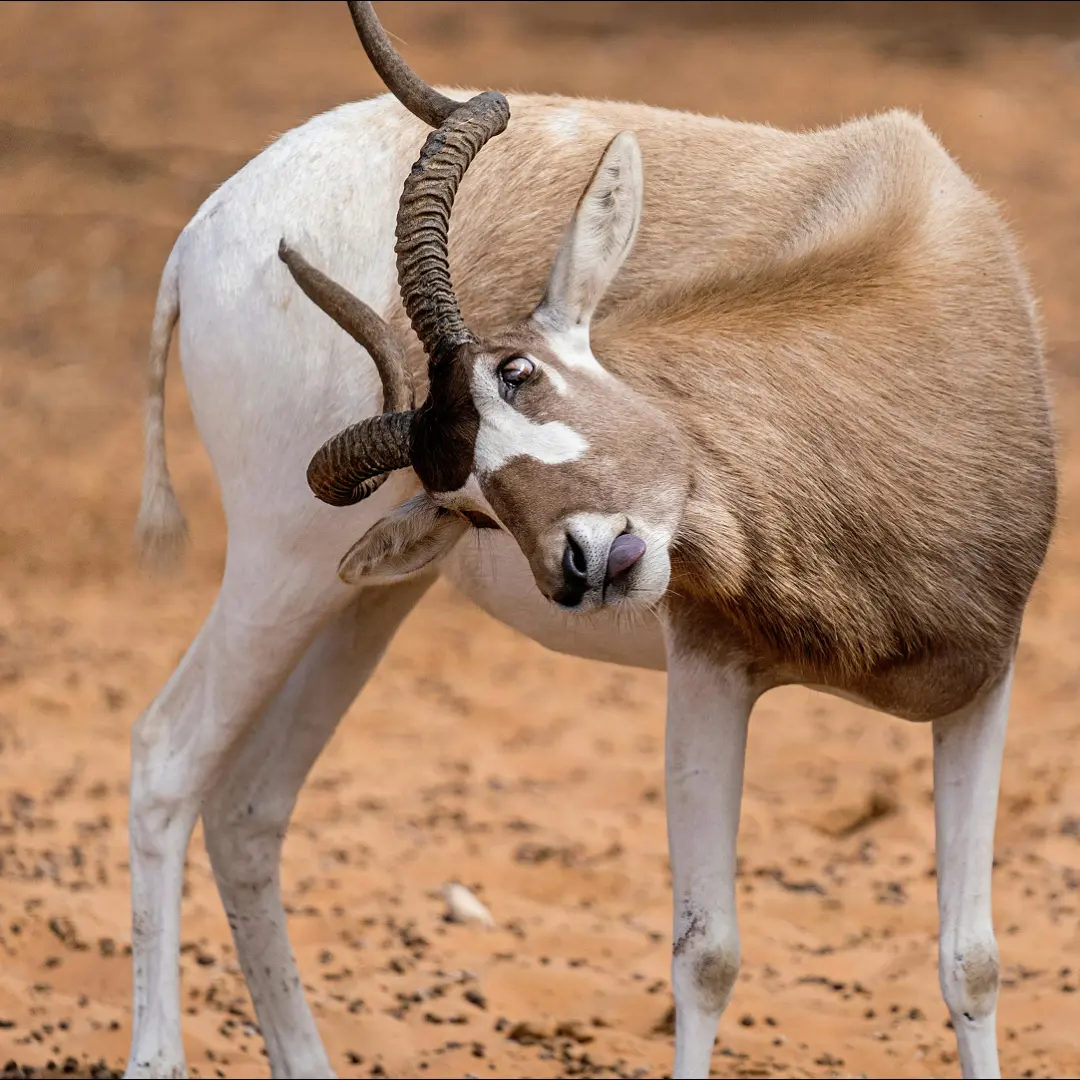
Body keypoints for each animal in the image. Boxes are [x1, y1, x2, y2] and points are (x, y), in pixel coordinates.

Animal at [124, 2, 1057, 1077]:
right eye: (474, 503)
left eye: (520, 373)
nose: (586, 565)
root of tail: (206, 225)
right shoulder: (711, 666)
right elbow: (707, 954)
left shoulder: (984, 680)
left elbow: (971, 960)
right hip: (284, 568)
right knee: (166, 760)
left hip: (365, 597)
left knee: (248, 806)